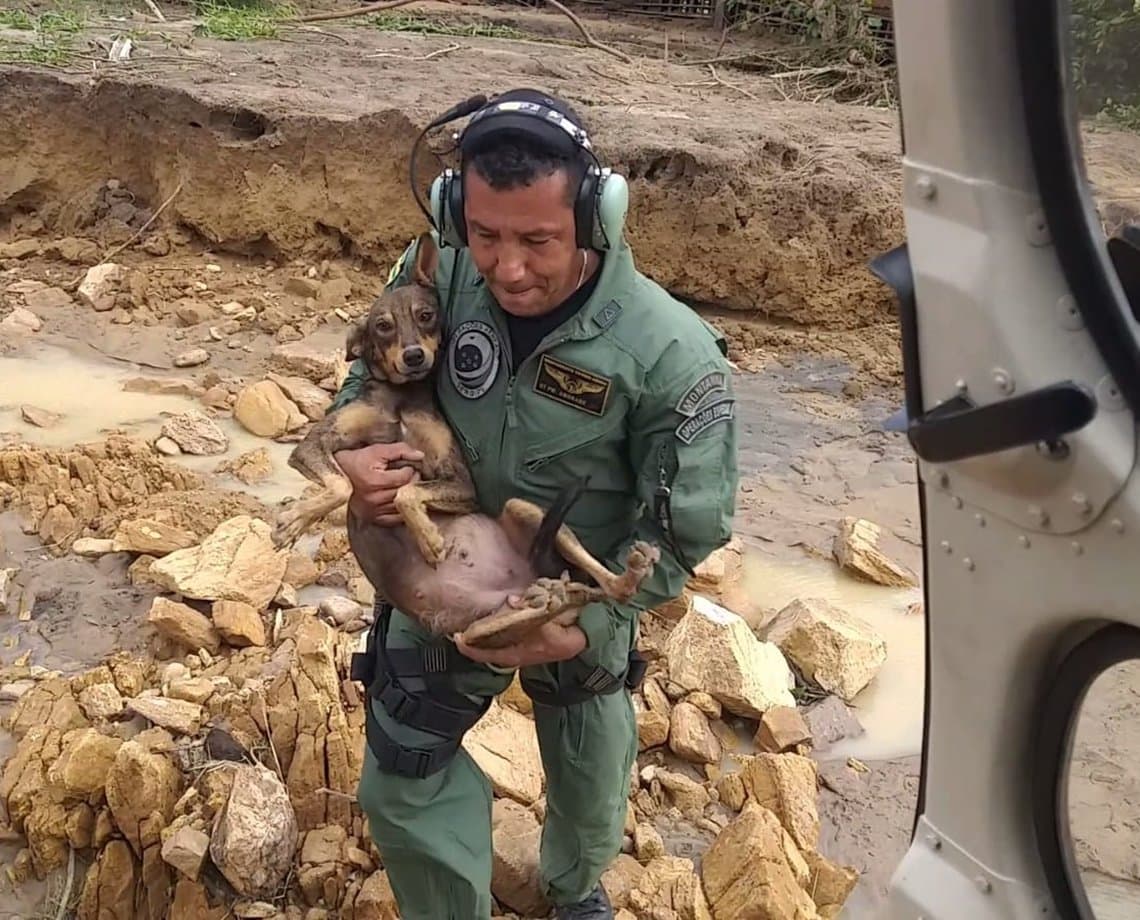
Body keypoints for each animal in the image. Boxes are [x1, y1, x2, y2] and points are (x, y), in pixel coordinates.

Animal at [269, 232, 661, 647]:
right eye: (383, 327)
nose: (413, 356)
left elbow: (405, 491)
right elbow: (345, 485)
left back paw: (614, 576)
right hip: (476, 632)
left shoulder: (459, 482)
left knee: (609, 589)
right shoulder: (316, 443)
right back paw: (551, 596)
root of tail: (526, 582)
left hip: (528, 512)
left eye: (426, 315)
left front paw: (427, 536)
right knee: (566, 601)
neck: (402, 397)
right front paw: (293, 521)